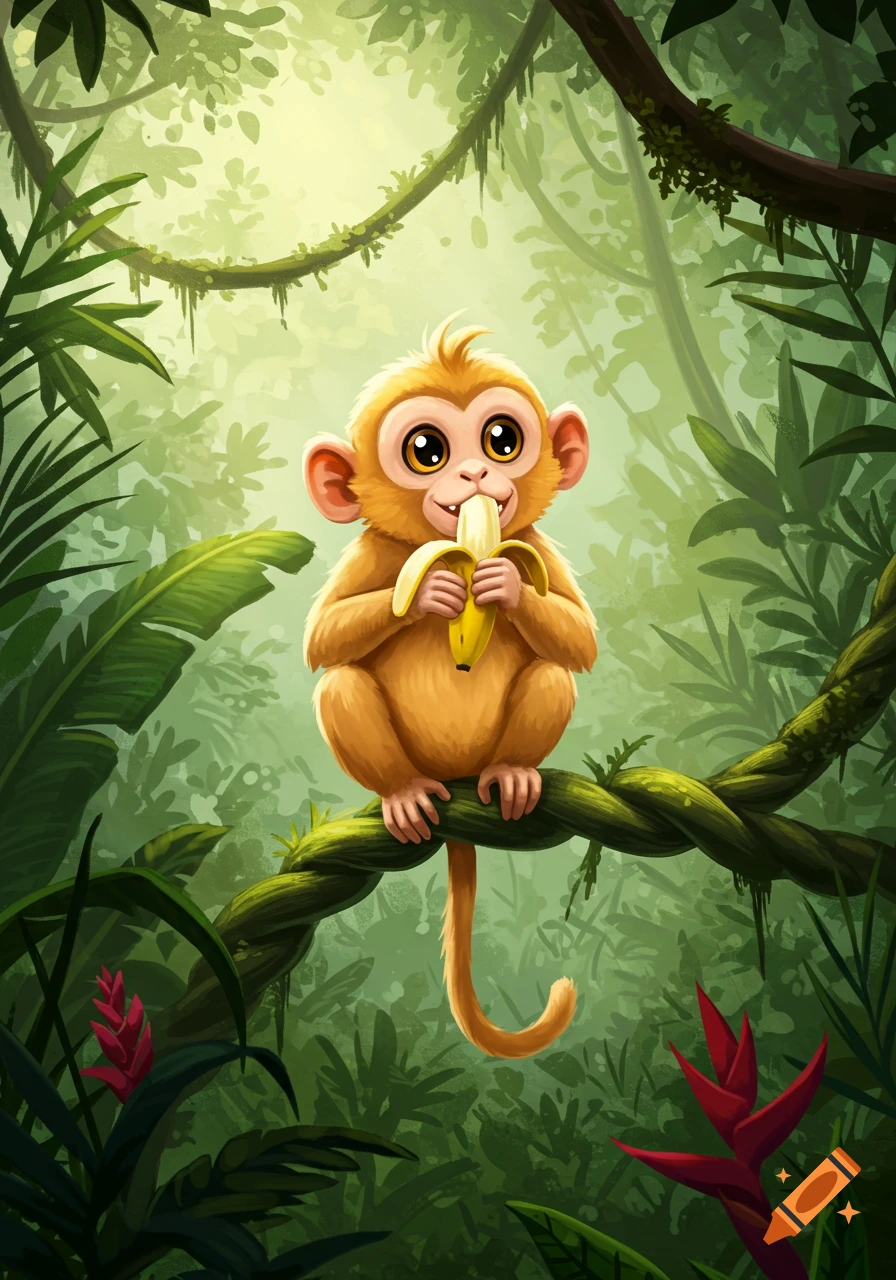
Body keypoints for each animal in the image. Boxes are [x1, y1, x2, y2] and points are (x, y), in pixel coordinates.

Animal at [302, 317, 597, 1058]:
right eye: (427, 450)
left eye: (502, 439)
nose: (476, 474)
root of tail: (456, 778)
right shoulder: (373, 552)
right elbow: (324, 640)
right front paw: (435, 591)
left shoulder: (531, 542)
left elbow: (579, 641)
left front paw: (503, 585)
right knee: (340, 683)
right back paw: (403, 794)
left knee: (551, 673)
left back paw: (512, 774)